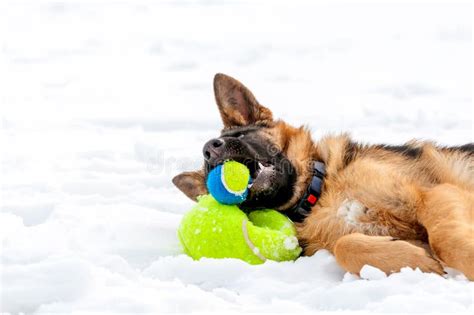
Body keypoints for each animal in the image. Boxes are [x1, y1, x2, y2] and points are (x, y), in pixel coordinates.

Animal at [173, 73, 474, 278]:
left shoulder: (435, 193)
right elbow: (345, 245)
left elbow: (445, 240)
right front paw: (415, 261)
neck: (318, 194)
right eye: (209, 171)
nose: (209, 149)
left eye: (241, 136)